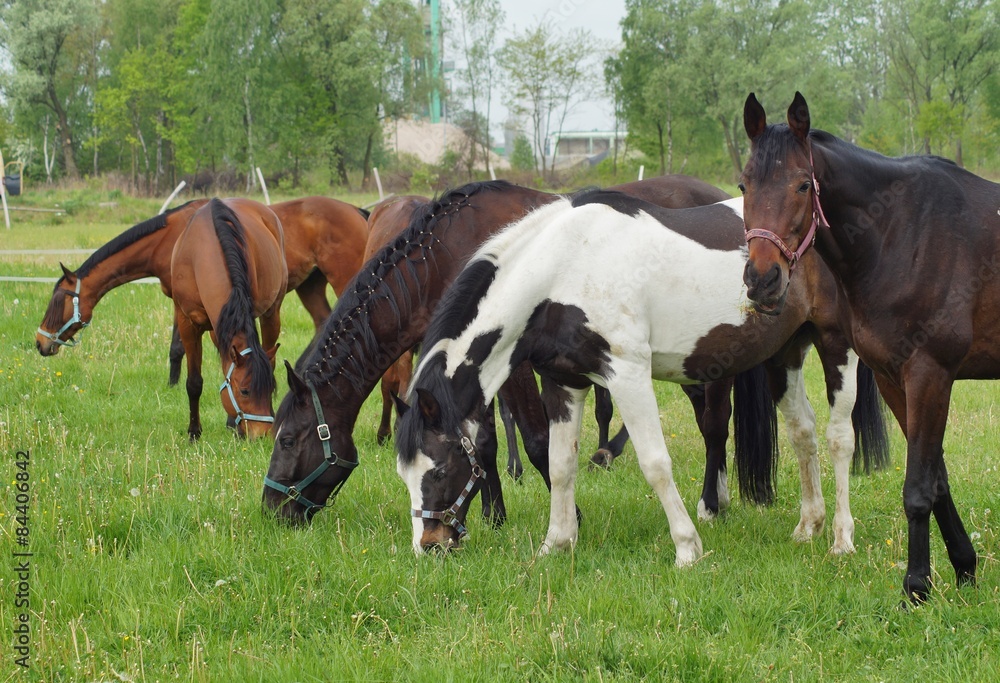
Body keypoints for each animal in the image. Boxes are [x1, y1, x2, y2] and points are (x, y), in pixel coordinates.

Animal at [170, 198, 287, 439]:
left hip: (272, 312)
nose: (262, 435)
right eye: (244, 391)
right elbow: (194, 382)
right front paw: (194, 432)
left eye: (270, 389)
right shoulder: (189, 322)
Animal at [393, 189, 885, 559]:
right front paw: (556, 544)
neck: (565, 267)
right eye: (404, 474)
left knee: (840, 438)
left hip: (835, 346)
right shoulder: (563, 383)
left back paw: (841, 539)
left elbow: (655, 463)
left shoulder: (627, 375)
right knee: (804, 432)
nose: (429, 546)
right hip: (786, 354)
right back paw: (808, 526)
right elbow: (559, 464)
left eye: (439, 469)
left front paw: (687, 548)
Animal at [739, 91, 1000, 602]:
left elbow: (918, 488)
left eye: (803, 185)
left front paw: (915, 587)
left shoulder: (930, 375)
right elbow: (937, 479)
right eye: (743, 183)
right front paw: (964, 568)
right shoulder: (892, 376)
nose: (762, 280)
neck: (903, 234)